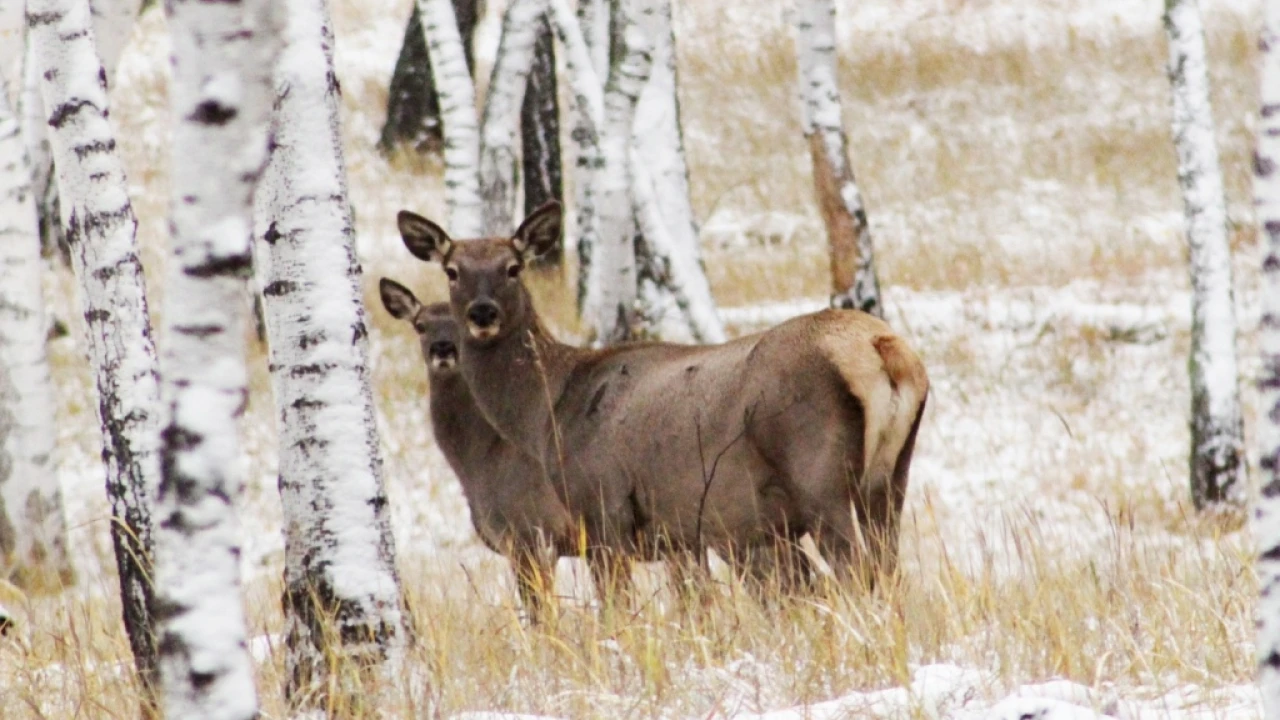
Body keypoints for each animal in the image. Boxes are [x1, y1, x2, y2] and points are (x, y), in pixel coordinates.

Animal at [391, 202, 931, 594]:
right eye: (452, 270)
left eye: (513, 266)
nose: (482, 314)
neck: (546, 414)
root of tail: (882, 349)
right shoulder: (677, 534)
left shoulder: (598, 512)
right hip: (890, 479)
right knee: (887, 569)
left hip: (820, 475)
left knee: (855, 573)